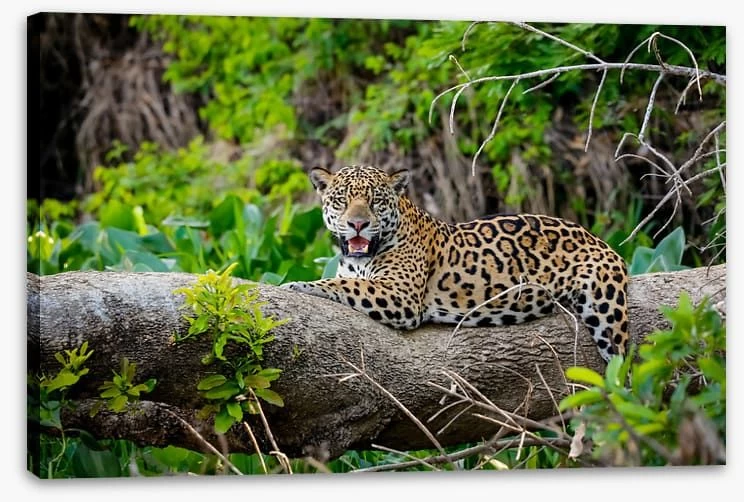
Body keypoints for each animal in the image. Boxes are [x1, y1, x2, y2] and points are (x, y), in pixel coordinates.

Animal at [282, 165, 630, 362]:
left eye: (375, 201)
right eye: (341, 200)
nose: (358, 224)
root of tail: (597, 237)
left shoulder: (401, 296)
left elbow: (345, 284)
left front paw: (298, 284)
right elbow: (347, 280)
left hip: (606, 309)